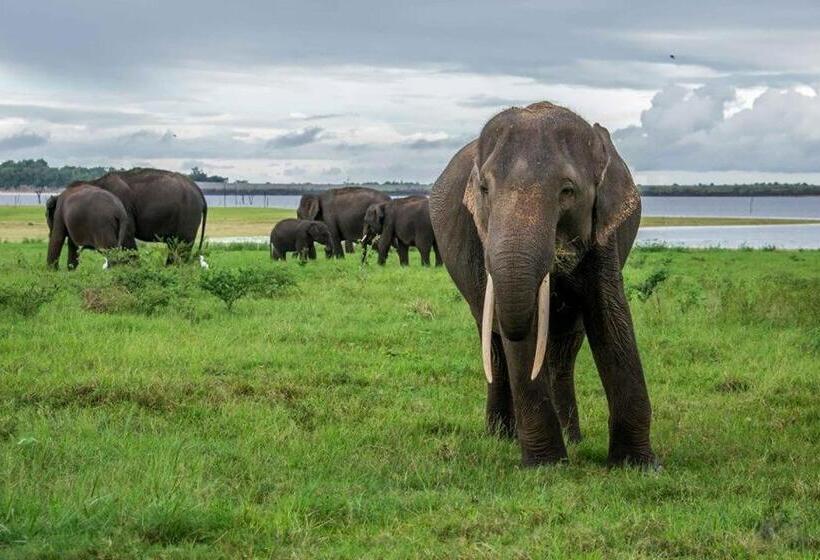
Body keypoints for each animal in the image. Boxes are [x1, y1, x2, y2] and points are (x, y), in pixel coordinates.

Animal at [429, 101, 656, 468]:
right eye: (484, 189)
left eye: (567, 191)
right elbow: (521, 336)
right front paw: (546, 466)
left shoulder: (603, 232)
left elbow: (610, 315)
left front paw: (637, 465)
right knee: (494, 346)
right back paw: (502, 436)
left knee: (563, 350)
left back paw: (572, 437)